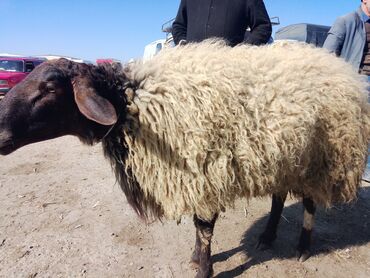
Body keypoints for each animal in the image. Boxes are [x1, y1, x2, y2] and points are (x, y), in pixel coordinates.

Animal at [0, 39, 368, 278]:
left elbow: (203, 228)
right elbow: (199, 228)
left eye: (49, 88)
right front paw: (196, 259)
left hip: (321, 159)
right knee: (279, 197)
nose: (0, 128)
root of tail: (336, 64)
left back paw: (303, 247)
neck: (132, 102)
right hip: (285, 155)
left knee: (309, 203)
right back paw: (267, 237)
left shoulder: (204, 172)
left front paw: (203, 269)